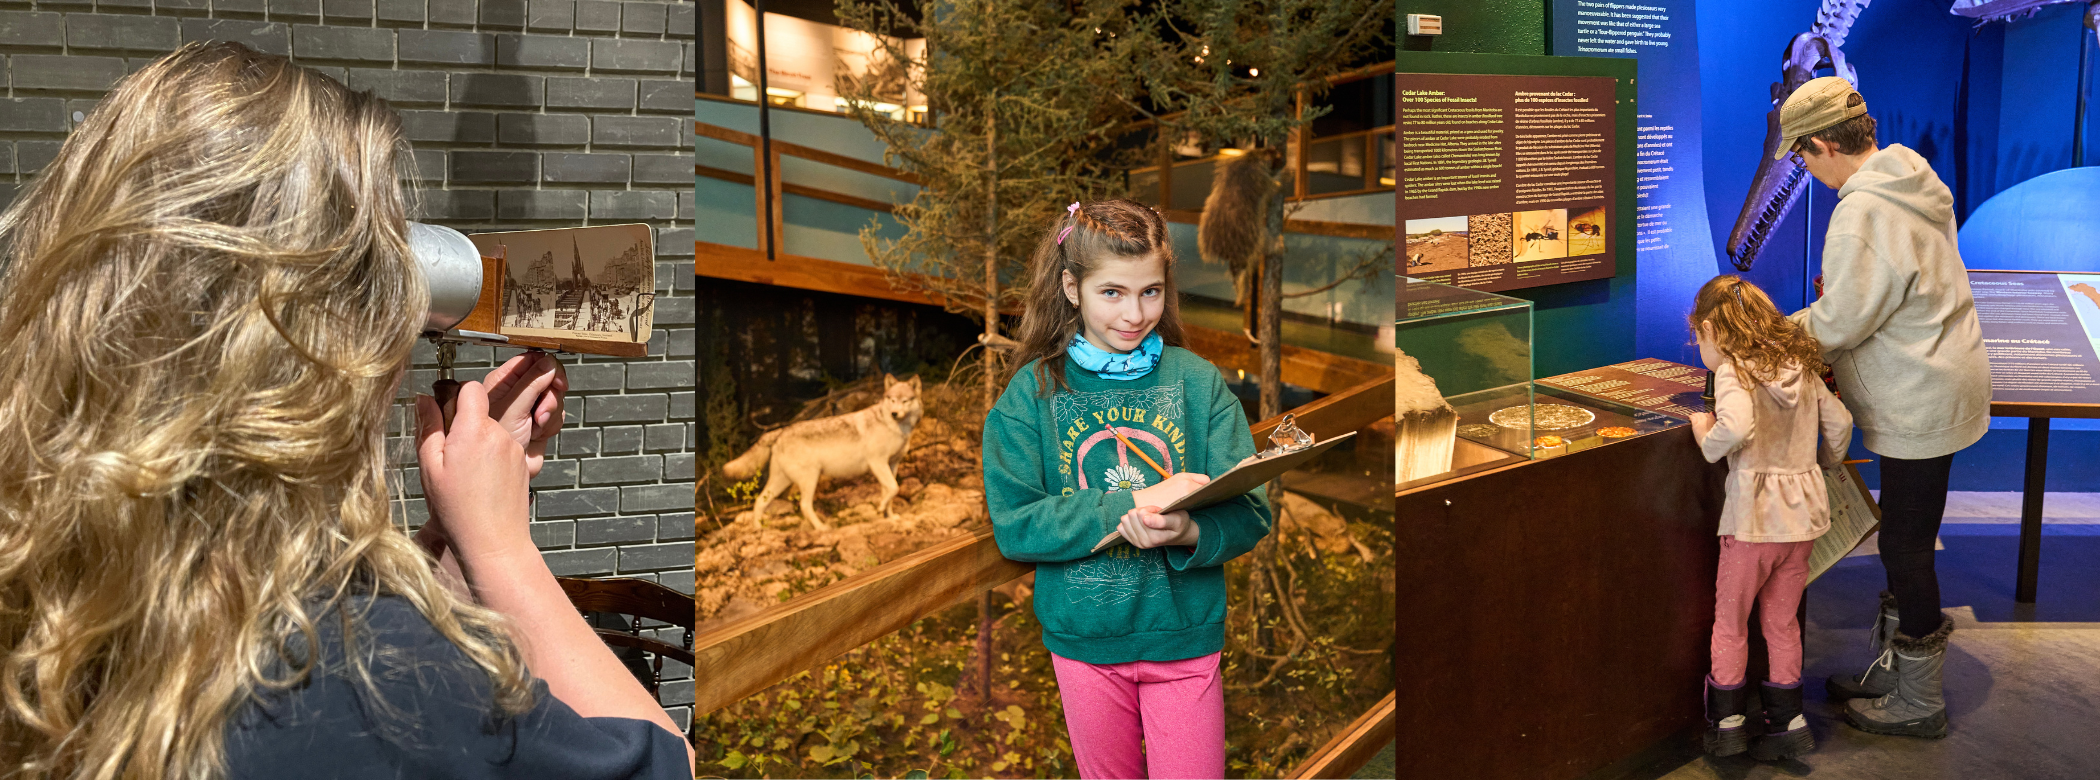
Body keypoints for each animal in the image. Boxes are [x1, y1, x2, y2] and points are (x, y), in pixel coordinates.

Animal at [722, 372, 919, 531]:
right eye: (892, 400)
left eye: (904, 401)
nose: (894, 413)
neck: (896, 427)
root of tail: (781, 431)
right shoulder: (877, 463)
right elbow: (894, 488)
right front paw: (881, 509)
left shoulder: (892, 464)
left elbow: (890, 493)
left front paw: (888, 516)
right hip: (810, 479)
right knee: (804, 506)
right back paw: (822, 528)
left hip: (782, 482)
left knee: (759, 502)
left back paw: (758, 531)